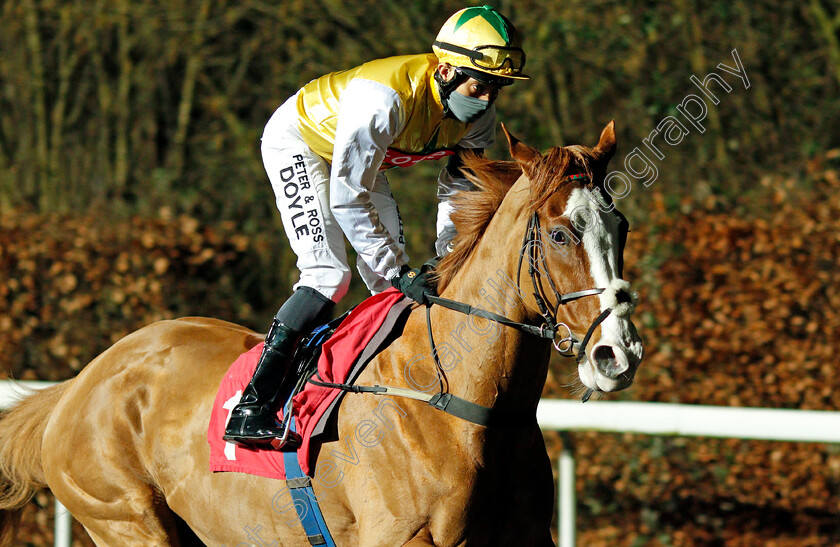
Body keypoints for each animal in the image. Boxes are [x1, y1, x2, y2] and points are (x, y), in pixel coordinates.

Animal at [0, 125, 644, 547]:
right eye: (560, 234)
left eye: (621, 225)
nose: (618, 354)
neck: (459, 402)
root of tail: (78, 386)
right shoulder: (400, 539)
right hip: (124, 517)